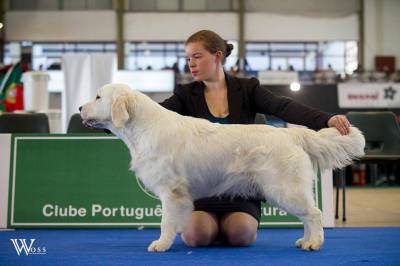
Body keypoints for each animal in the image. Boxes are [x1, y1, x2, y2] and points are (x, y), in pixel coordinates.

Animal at [80, 84, 366, 252]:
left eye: (98, 97)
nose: (80, 107)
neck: (144, 127)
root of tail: (291, 134)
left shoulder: (171, 191)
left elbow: (166, 222)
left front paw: (161, 244)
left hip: (285, 189)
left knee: (314, 214)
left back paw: (314, 243)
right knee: (307, 216)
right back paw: (305, 241)